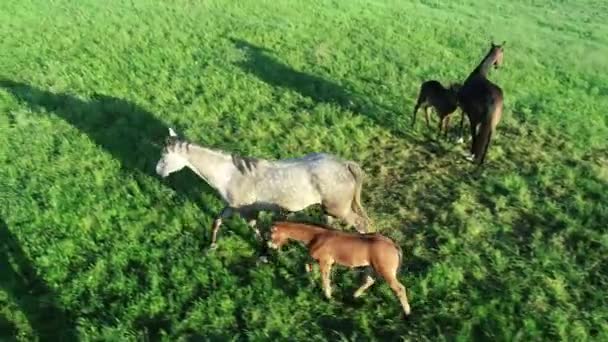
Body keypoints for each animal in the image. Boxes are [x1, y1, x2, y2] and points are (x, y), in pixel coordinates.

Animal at [154, 128, 368, 248]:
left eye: (165, 156)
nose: (158, 171)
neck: (230, 174)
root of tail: (345, 164)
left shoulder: (247, 210)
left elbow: (256, 229)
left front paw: (266, 250)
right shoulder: (233, 207)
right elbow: (217, 220)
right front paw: (211, 245)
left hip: (338, 209)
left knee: (361, 225)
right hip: (328, 209)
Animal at [268, 222, 410, 316]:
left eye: (271, 234)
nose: (270, 245)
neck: (315, 235)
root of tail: (393, 244)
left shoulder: (325, 262)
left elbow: (325, 279)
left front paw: (328, 296)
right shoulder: (315, 258)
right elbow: (307, 264)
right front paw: (310, 280)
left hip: (385, 270)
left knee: (399, 288)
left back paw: (407, 312)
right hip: (370, 267)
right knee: (369, 281)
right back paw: (354, 296)